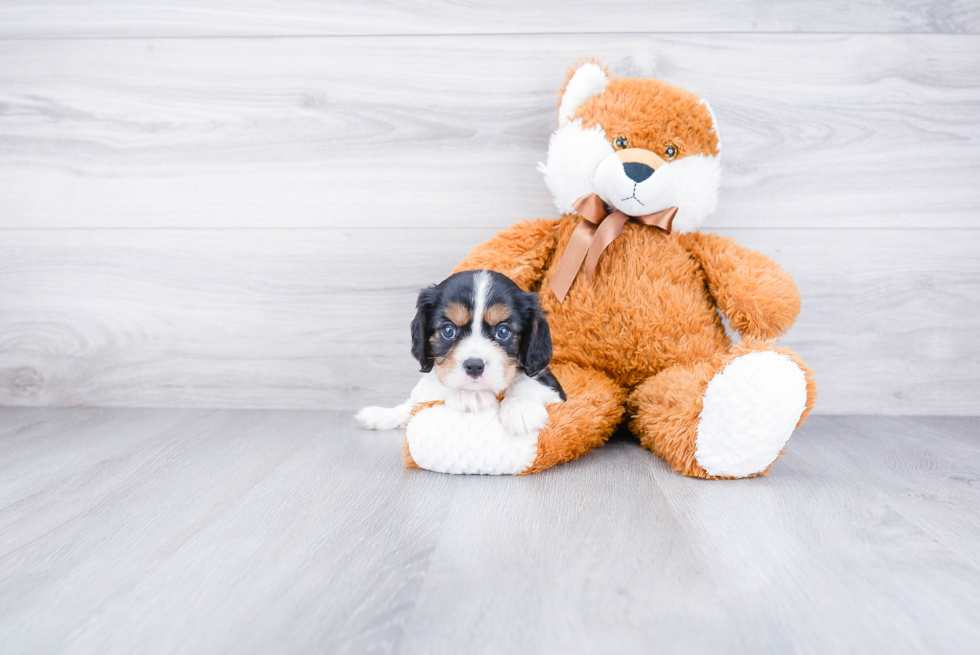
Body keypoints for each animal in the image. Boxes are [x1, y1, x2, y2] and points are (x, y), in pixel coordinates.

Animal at [354, 270, 568, 436]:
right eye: (449, 330)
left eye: (503, 331)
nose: (474, 366)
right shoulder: (429, 387)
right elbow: (436, 385)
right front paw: (469, 395)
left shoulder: (554, 388)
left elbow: (527, 382)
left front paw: (520, 407)